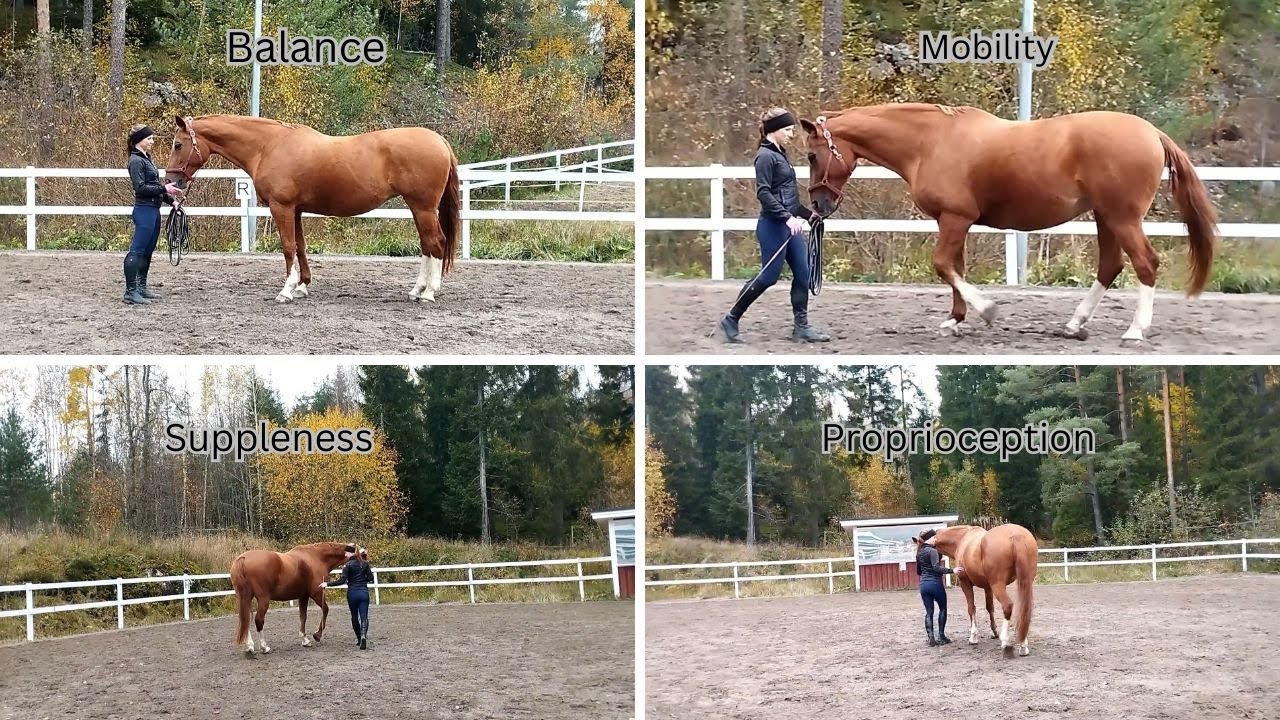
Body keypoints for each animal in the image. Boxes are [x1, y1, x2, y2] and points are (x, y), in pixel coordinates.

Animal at [160, 114, 460, 304]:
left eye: (178, 144)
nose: (171, 182)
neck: (269, 146)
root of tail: (440, 141)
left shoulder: (281, 207)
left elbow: (287, 248)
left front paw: (286, 290)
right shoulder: (296, 210)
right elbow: (300, 246)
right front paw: (302, 286)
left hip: (422, 208)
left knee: (436, 243)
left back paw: (428, 293)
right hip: (418, 209)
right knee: (427, 245)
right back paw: (417, 290)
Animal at [799, 103, 1218, 346]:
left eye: (812, 155)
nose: (818, 205)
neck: (929, 142)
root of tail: (1152, 133)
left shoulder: (955, 219)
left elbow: (943, 265)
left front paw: (986, 311)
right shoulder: (956, 222)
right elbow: (955, 268)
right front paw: (955, 321)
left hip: (1122, 217)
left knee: (1145, 264)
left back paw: (1135, 330)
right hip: (1105, 217)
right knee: (1110, 266)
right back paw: (1074, 324)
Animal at [926, 523, 1038, 656]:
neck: (962, 539)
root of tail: (1016, 534)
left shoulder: (965, 584)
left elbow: (971, 608)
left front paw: (973, 637)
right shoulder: (988, 587)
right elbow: (990, 608)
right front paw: (994, 632)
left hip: (998, 585)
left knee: (1007, 606)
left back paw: (1005, 641)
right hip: (1025, 583)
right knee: (1024, 610)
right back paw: (1023, 644)